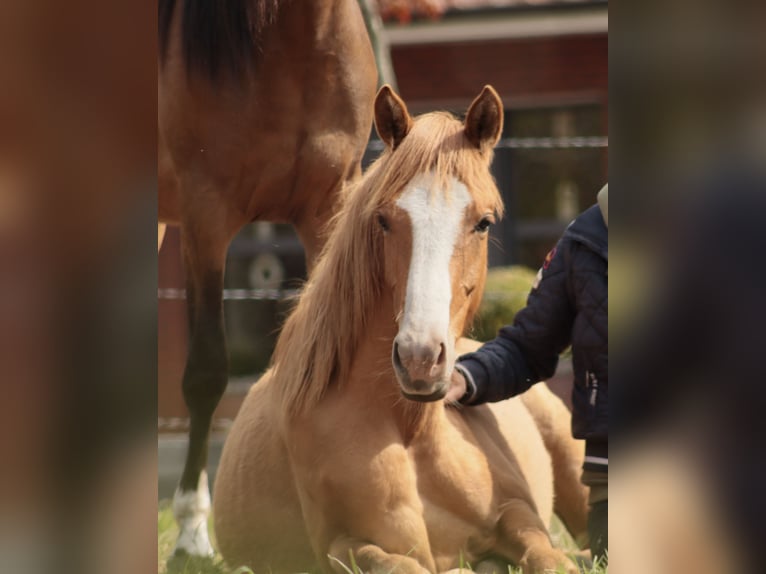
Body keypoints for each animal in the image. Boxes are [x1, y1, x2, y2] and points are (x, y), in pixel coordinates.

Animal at [214, 85, 588, 574]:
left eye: (483, 222)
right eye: (384, 220)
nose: (420, 358)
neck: (412, 434)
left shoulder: (519, 515)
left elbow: (552, 558)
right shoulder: (347, 546)